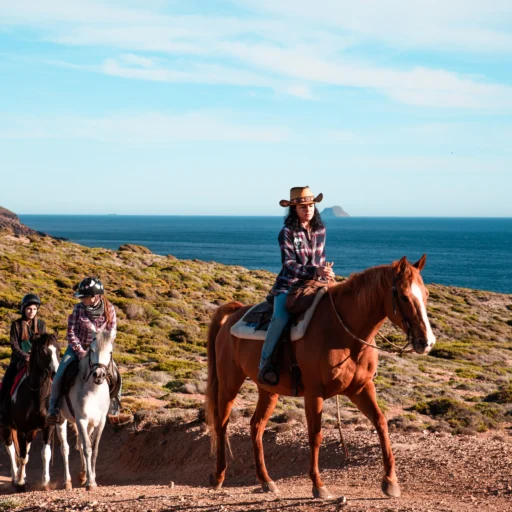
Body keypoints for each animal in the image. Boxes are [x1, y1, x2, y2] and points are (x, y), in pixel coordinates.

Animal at [206, 256, 438, 500]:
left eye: (426, 294)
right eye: (403, 296)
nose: (427, 342)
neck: (345, 334)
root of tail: (235, 313)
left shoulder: (361, 388)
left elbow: (381, 423)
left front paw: (390, 481)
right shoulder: (314, 393)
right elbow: (316, 435)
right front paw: (318, 484)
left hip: (268, 390)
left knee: (256, 426)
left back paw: (266, 480)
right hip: (229, 383)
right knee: (221, 423)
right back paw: (219, 476)